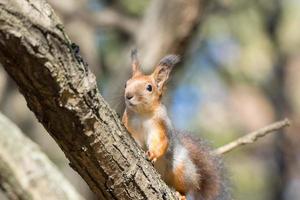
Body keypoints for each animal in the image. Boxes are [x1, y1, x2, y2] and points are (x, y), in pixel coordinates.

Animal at [122, 49, 225, 199]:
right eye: (126, 84)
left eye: (149, 87)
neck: (142, 114)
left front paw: (152, 154)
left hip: (181, 169)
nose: (128, 95)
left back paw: (180, 194)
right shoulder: (128, 122)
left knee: (186, 187)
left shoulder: (161, 125)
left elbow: (160, 141)